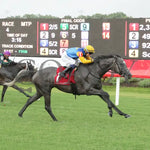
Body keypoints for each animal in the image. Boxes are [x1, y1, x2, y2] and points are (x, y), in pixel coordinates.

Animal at [4, 54, 132, 121]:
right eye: (122, 64)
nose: (129, 75)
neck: (93, 71)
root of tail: (36, 72)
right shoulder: (87, 90)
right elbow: (106, 95)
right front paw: (110, 111)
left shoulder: (97, 90)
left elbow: (108, 98)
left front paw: (123, 113)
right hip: (46, 91)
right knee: (47, 106)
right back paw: (56, 119)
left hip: (40, 91)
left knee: (30, 100)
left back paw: (20, 114)